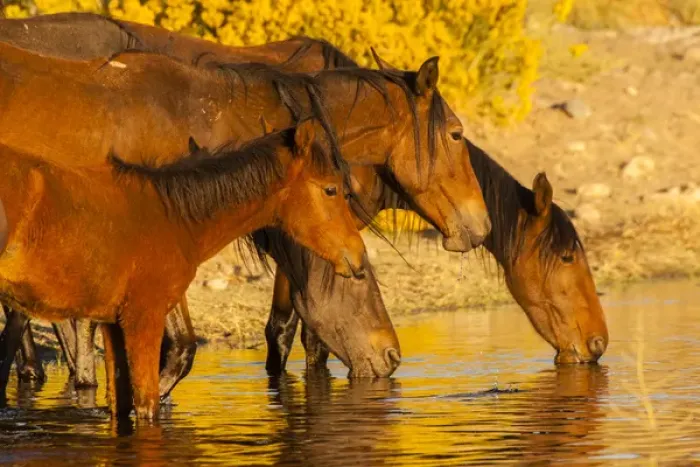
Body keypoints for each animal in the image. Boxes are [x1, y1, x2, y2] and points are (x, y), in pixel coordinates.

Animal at [0, 118, 367, 420]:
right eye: (331, 189)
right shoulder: (143, 320)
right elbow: (147, 404)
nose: (358, 256)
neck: (173, 216)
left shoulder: (113, 325)